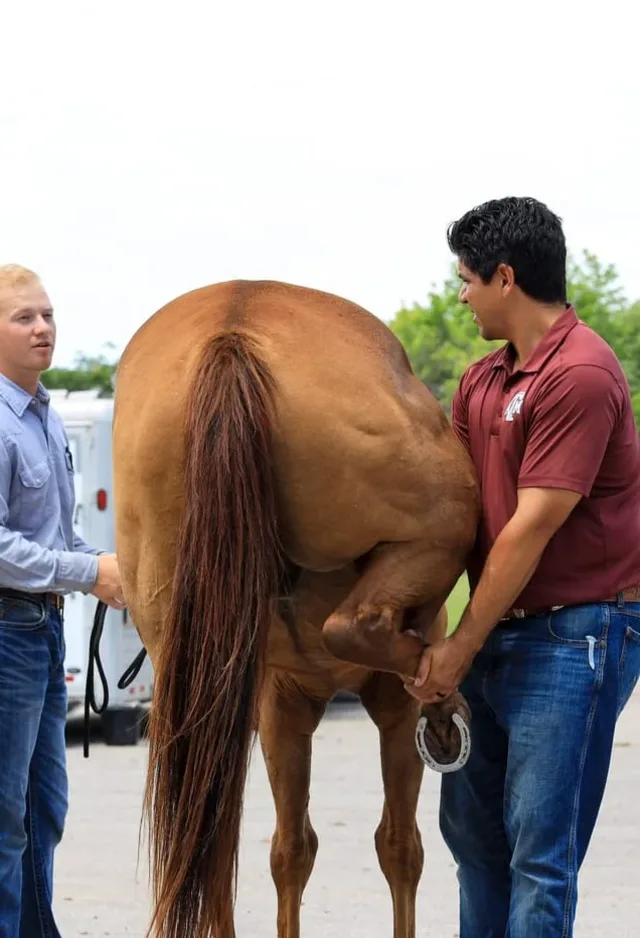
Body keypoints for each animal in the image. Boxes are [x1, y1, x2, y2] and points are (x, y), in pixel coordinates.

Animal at [111, 282, 480, 936]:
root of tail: (233, 332)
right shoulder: (382, 707)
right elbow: (399, 847)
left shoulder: (281, 704)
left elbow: (291, 851)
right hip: (447, 525)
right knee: (356, 629)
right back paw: (437, 680)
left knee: (213, 844)